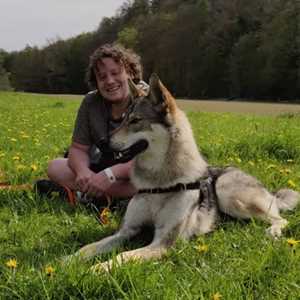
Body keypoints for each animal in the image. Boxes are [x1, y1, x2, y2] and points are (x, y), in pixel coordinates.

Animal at [67, 73, 298, 272]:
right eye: (123, 118)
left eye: (135, 121)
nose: (101, 142)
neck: (157, 183)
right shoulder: (126, 231)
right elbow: (89, 247)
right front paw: (67, 261)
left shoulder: (163, 243)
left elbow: (123, 255)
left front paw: (99, 268)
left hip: (228, 194)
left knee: (280, 219)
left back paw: (272, 231)